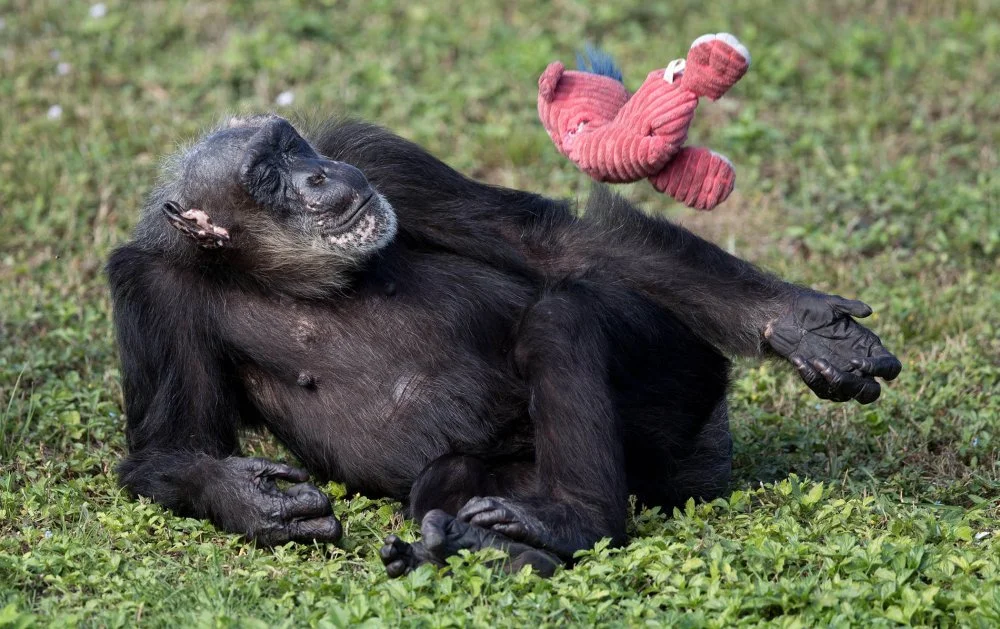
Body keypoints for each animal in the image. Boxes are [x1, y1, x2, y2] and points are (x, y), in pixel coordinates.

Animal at [105, 115, 904, 576]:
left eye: (294, 145)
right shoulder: (150, 292)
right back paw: (482, 541)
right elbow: (171, 443)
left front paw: (803, 323)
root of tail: (716, 453)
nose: (317, 173)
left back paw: (573, 521)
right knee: (447, 479)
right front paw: (255, 501)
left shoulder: (379, 161)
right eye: (268, 176)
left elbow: (556, 244)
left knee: (563, 314)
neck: (277, 269)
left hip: (689, 397)